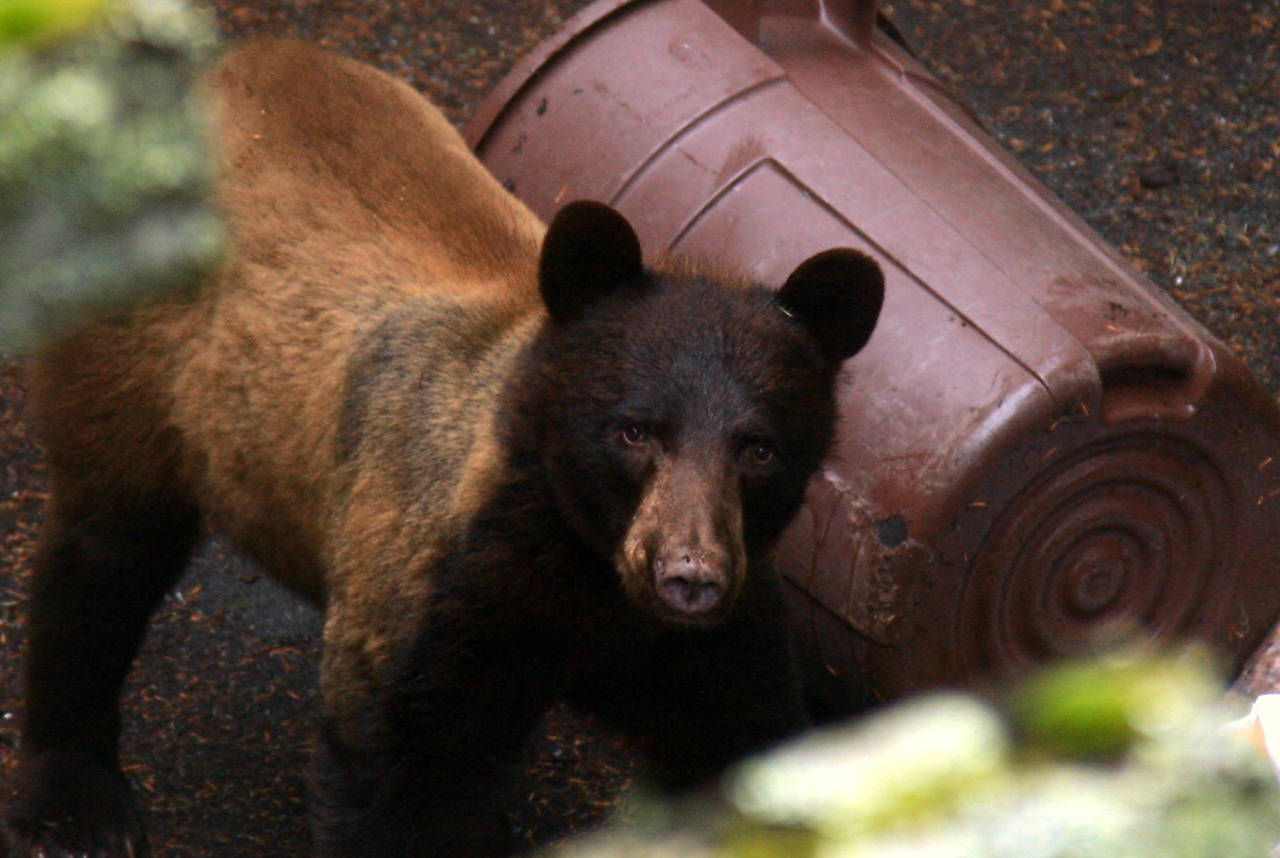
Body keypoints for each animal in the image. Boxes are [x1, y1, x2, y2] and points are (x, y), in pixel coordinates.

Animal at [2, 39, 884, 858]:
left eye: (760, 449)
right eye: (635, 430)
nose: (690, 577)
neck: (586, 581)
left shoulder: (709, 640)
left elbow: (750, 739)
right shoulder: (436, 601)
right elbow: (394, 777)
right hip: (129, 366)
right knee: (101, 558)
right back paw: (74, 803)